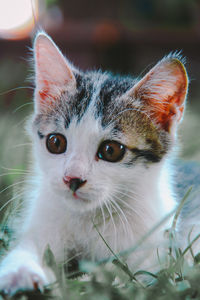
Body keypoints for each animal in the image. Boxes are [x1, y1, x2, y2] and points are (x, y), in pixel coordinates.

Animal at [0, 32, 188, 296]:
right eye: (55, 142)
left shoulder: (155, 248)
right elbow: (28, 249)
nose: (72, 179)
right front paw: (20, 273)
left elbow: (135, 277)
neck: (90, 218)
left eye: (111, 150)